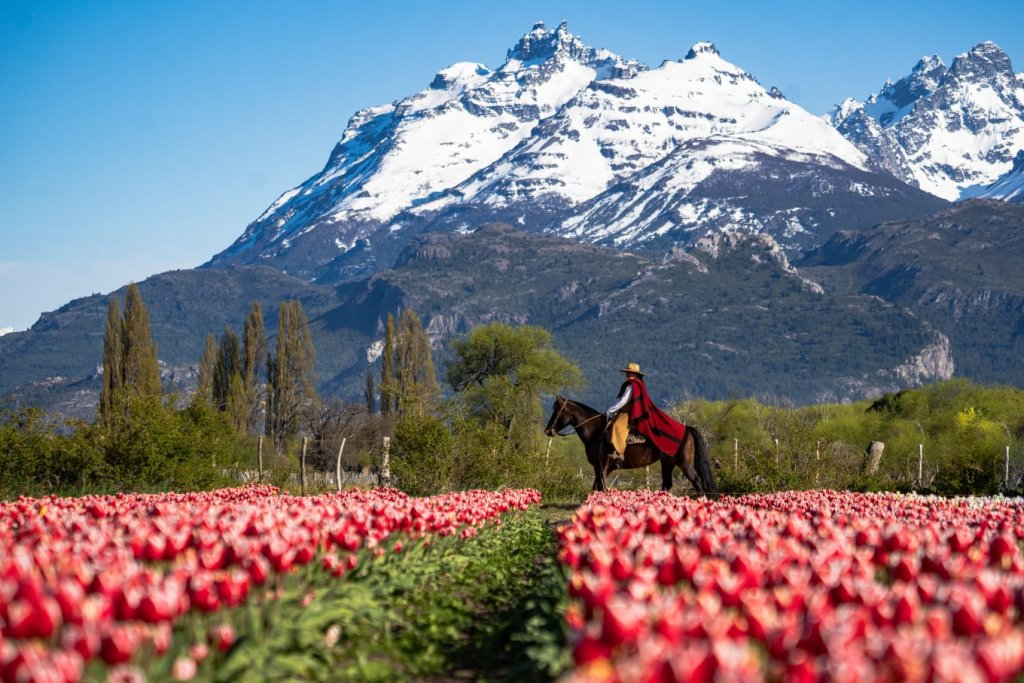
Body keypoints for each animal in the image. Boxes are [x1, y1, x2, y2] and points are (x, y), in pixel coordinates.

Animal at [540, 395, 716, 497]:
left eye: (557, 411)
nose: (548, 430)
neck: (596, 431)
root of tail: (687, 428)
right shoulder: (603, 468)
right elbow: (597, 487)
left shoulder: (600, 466)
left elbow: (599, 487)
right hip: (668, 462)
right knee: (667, 484)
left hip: (683, 463)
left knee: (696, 481)